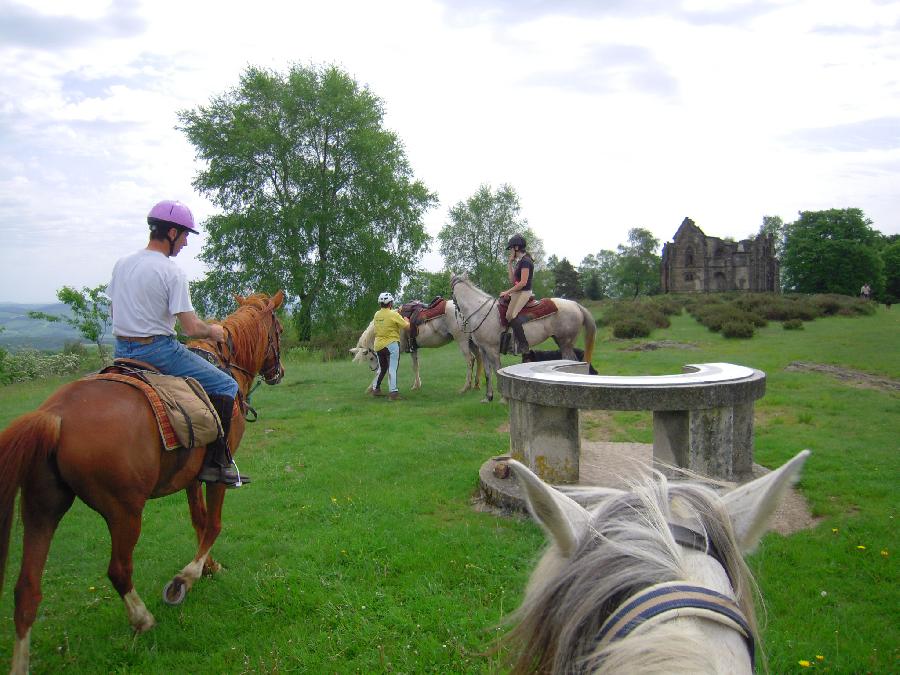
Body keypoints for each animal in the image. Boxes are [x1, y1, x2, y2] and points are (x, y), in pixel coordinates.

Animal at [0, 290, 284, 675]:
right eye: (279, 330)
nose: (278, 372)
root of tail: (54, 415)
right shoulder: (218, 475)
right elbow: (213, 524)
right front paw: (185, 579)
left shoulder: (192, 477)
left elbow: (198, 522)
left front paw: (208, 567)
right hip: (124, 512)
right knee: (119, 570)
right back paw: (142, 618)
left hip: (41, 510)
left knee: (27, 591)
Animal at [348, 298, 482, 394]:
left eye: (371, 357)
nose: (372, 368)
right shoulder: (413, 349)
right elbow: (415, 366)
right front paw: (416, 386)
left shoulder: (395, 351)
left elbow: (384, 370)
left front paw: (371, 388)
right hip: (471, 341)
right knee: (479, 358)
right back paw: (476, 384)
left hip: (462, 340)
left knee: (470, 360)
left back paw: (466, 387)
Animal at [450, 274, 596, 402]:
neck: (481, 312)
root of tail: (575, 305)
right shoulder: (483, 349)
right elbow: (487, 373)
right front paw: (488, 397)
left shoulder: (492, 350)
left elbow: (497, 370)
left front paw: (503, 399)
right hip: (562, 343)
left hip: (565, 343)